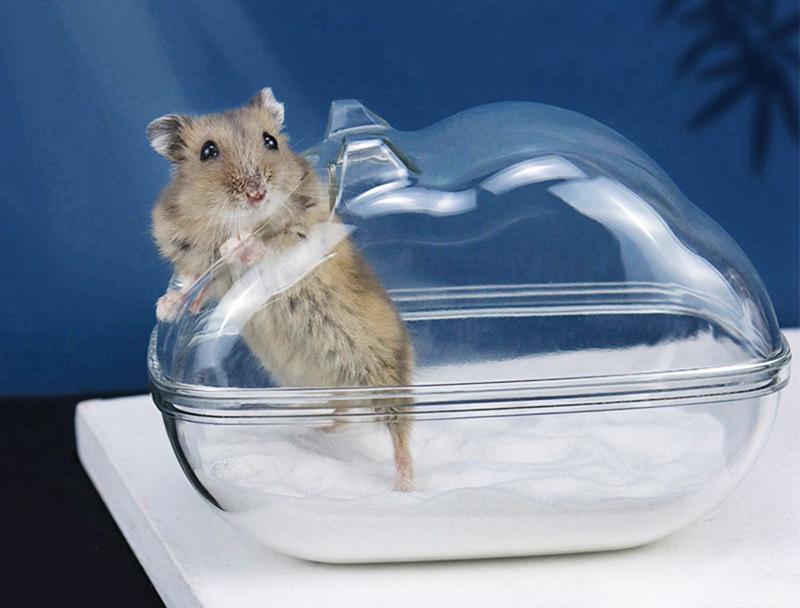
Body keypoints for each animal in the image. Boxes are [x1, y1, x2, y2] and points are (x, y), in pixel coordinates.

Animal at [147, 88, 414, 492]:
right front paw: (165, 307)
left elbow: (266, 247)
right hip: (333, 385)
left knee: (399, 431)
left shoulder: (304, 234)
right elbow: (194, 284)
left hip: (382, 373)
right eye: (208, 151)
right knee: (343, 410)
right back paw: (318, 431)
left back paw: (403, 486)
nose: (257, 193)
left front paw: (236, 245)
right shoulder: (194, 258)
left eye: (270, 141)